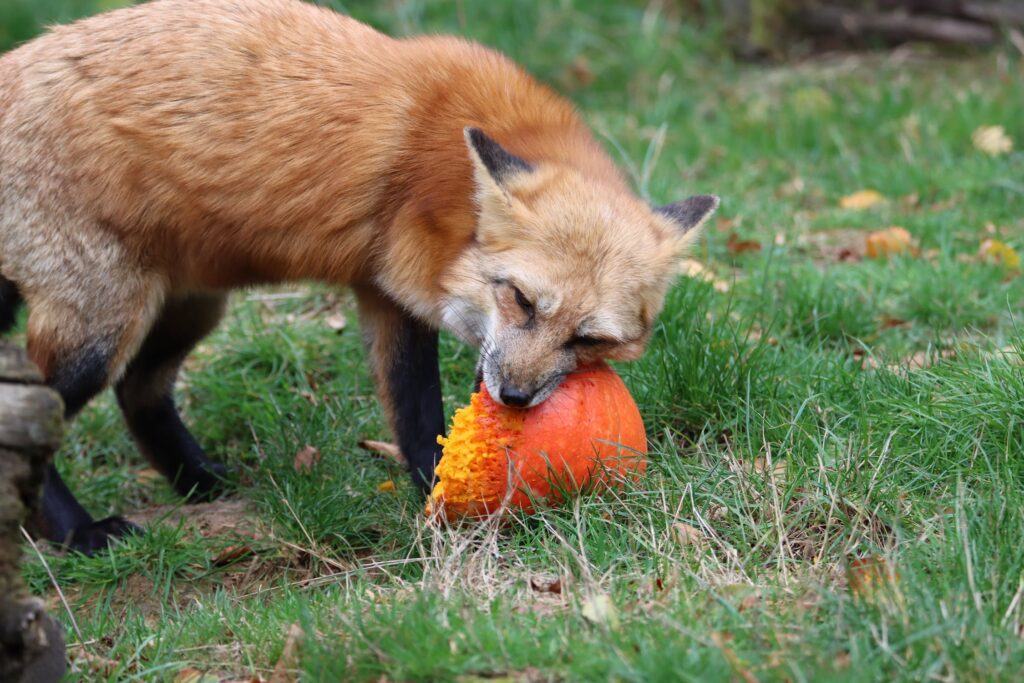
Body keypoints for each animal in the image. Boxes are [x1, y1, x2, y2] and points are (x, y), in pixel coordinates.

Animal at [0, 0, 720, 557]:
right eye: (519, 299)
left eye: (589, 340)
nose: (515, 397)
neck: (446, 186)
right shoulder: (400, 289)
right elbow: (420, 407)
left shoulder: (387, 294)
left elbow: (416, 418)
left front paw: (441, 496)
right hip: (102, 324)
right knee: (41, 404)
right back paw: (77, 533)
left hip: (188, 305)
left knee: (140, 391)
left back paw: (200, 481)